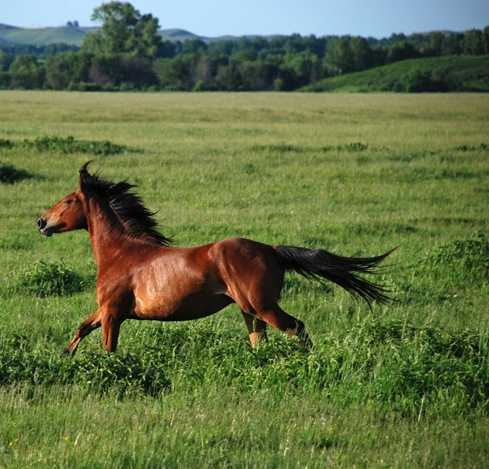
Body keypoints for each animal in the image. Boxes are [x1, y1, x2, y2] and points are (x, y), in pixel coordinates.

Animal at [36, 163, 390, 352]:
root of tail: (272, 250)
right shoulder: (108, 311)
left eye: (67, 201)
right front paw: (64, 357)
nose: (41, 222)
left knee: (298, 328)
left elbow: (108, 349)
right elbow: (81, 328)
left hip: (263, 307)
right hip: (250, 312)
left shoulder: (112, 313)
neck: (121, 252)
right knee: (260, 342)